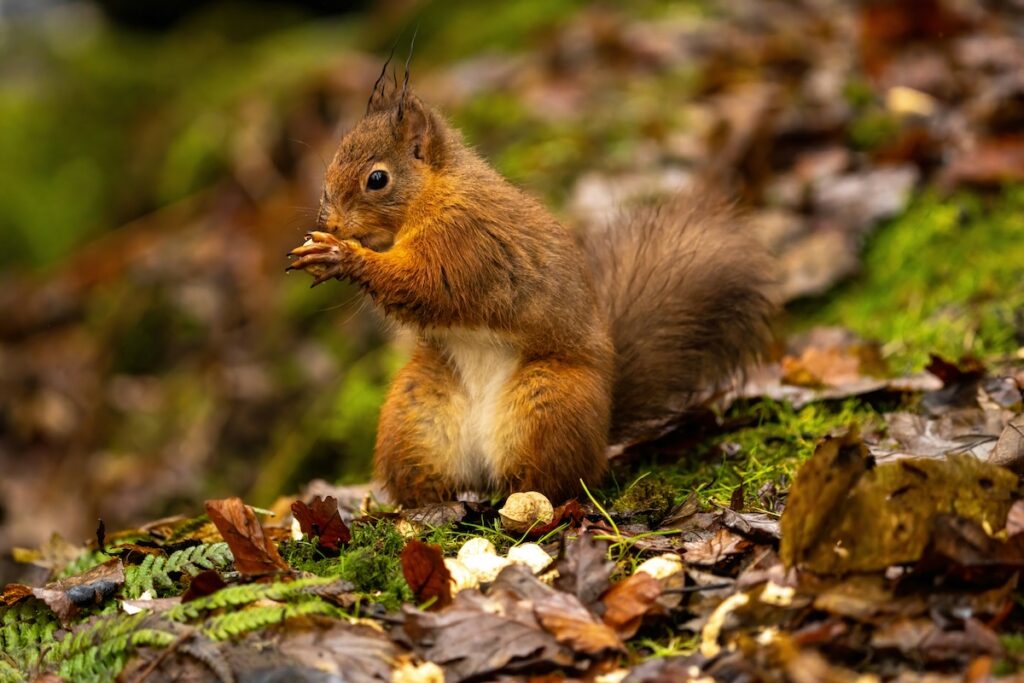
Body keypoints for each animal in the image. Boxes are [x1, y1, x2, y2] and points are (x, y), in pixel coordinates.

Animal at [287, 76, 776, 508]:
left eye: (377, 179)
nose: (330, 222)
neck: (434, 192)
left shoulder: (464, 242)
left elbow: (426, 285)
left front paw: (342, 256)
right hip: (414, 414)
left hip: (547, 404)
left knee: (551, 481)